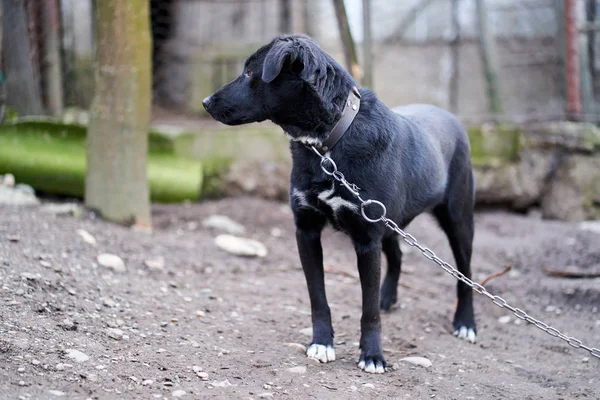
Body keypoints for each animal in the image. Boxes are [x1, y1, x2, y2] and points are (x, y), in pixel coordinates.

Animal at [204, 35, 476, 376]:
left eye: (251, 73)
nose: (205, 102)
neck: (328, 146)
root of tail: (451, 117)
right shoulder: (307, 230)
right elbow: (318, 297)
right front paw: (322, 343)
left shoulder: (367, 239)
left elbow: (368, 309)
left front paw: (372, 355)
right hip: (390, 224)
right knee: (398, 256)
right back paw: (389, 297)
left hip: (458, 221)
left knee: (466, 275)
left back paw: (465, 322)